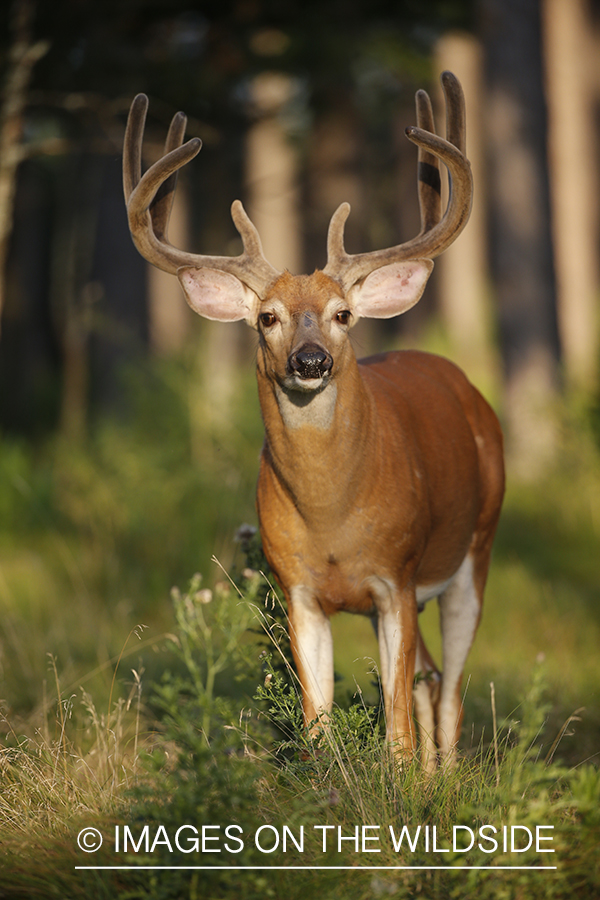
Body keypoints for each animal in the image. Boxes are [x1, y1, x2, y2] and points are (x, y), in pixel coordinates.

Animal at [124, 74, 504, 768]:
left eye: (343, 314)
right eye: (267, 316)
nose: (310, 360)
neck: (332, 512)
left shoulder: (396, 574)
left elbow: (396, 730)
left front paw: (401, 783)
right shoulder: (296, 584)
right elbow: (316, 723)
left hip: (476, 546)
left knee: (451, 692)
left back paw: (446, 776)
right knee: (432, 679)